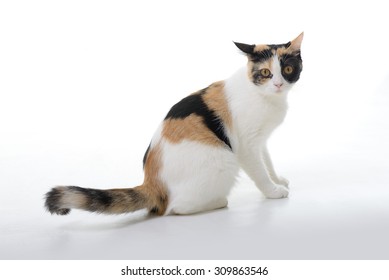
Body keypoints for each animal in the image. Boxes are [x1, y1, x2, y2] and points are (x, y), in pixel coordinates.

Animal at [44, 33, 304, 217]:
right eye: (266, 72)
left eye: (288, 69)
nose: (278, 84)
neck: (265, 96)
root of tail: (151, 183)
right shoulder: (246, 146)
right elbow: (259, 172)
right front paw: (273, 191)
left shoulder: (260, 141)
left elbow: (267, 163)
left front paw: (277, 179)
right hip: (223, 159)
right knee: (174, 208)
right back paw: (217, 202)